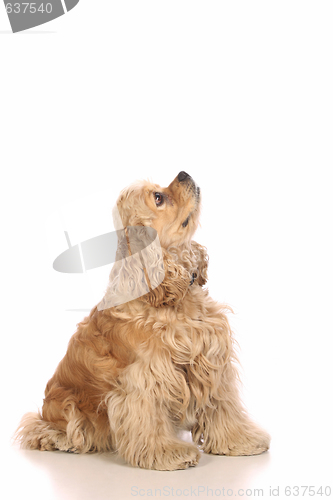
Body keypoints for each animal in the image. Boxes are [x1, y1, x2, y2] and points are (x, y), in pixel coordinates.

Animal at [14, 171, 270, 468]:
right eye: (158, 198)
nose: (184, 173)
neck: (173, 297)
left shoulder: (213, 360)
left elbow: (223, 406)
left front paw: (241, 441)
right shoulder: (145, 376)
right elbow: (149, 416)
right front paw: (167, 454)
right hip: (66, 407)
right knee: (40, 429)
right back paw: (62, 440)